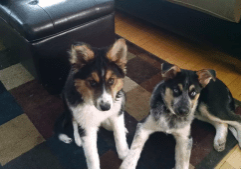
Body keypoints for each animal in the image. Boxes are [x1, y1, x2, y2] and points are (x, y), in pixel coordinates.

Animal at [56, 38, 130, 169]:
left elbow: (119, 135)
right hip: (68, 102)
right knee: (74, 122)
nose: (105, 107)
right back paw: (77, 138)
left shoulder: (117, 113)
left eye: (111, 81)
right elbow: (92, 156)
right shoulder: (87, 127)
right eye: (92, 83)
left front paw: (125, 155)